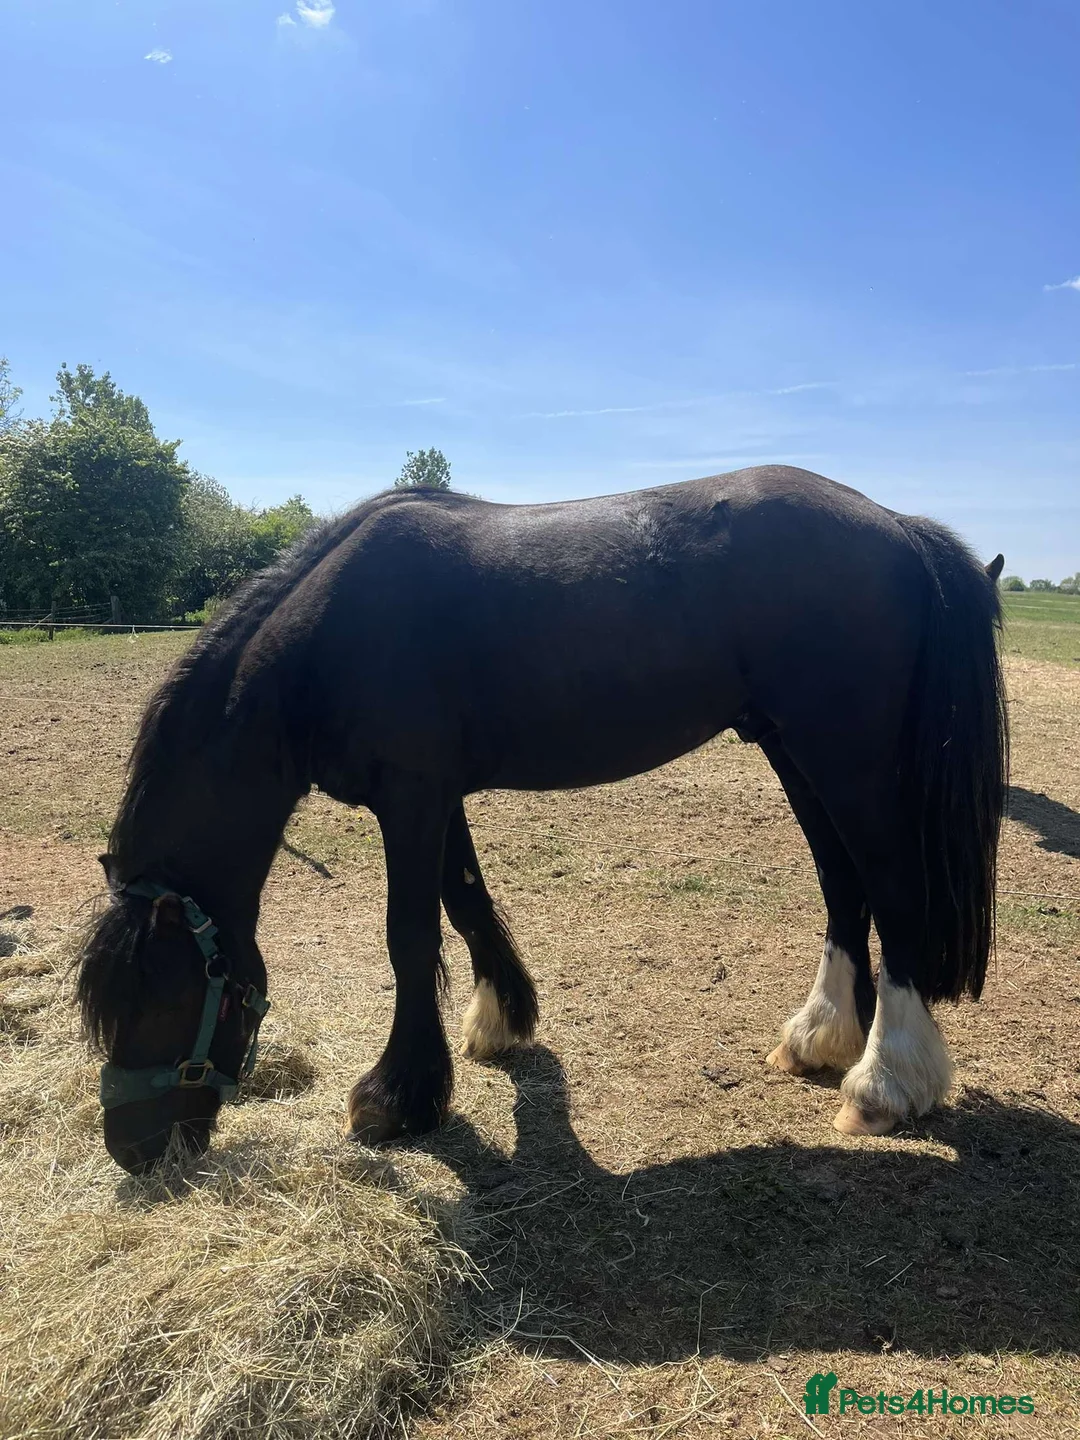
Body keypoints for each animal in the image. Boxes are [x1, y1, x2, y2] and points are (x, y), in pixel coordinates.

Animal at [75, 465, 1008, 1174]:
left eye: (163, 998)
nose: (135, 1153)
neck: (327, 635)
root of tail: (896, 526)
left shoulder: (410, 796)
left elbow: (409, 934)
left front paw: (397, 1097)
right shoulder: (434, 794)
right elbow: (465, 901)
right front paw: (500, 1022)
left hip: (847, 758)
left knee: (894, 892)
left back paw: (885, 1084)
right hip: (791, 750)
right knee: (843, 886)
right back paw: (819, 1038)